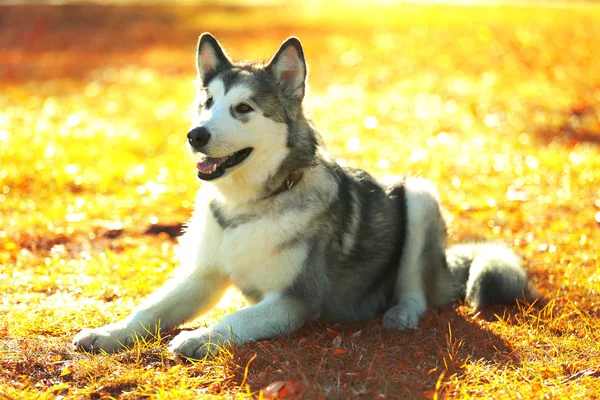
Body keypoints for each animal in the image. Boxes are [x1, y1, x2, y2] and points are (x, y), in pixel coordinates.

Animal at [71, 33, 536, 360]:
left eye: (243, 109)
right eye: (207, 103)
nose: (195, 135)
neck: (247, 208)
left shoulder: (296, 299)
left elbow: (238, 317)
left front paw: (200, 337)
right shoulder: (202, 277)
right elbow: (148, 311)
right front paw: (109, 333)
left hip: (420, 196)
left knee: (416, 292)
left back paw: (400, 313)